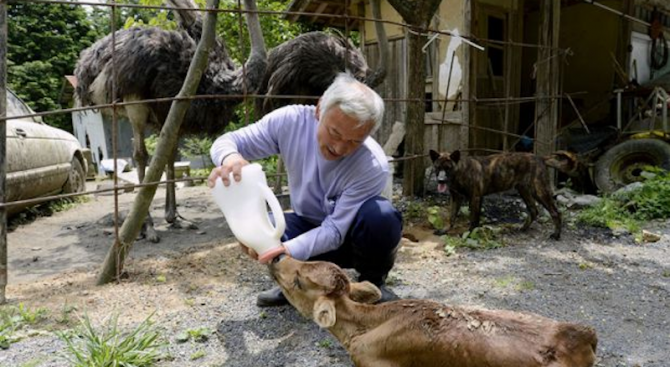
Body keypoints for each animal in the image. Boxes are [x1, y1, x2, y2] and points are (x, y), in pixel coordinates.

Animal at [430, 150, 560, 242]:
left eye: (448, 168)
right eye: (437, 167)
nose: (441, 181)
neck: (461, 172)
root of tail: (540, 158)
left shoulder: (475, 197)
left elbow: (473, 219)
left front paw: (470, 234)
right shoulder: (456, 198)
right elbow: (451, 216)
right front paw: (444, 230)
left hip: (539, 191)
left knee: (555, 212)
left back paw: (556, 235)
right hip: (524, 190)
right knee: (533, 210)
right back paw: (523, 228)